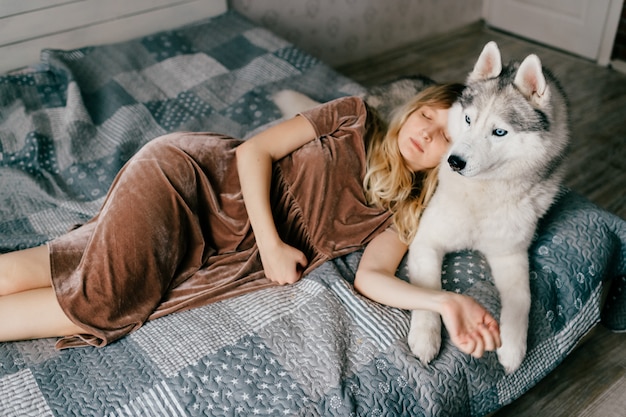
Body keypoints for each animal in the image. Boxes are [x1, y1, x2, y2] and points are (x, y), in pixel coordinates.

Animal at [408, 41, 568, 374]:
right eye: (469, 120)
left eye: (499, 132)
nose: (454, 162)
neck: (483, 195)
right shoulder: (426, 241)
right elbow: (429, 290)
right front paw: (426, 337)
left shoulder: (511, 255)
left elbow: (523, 299)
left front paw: (513, 348)